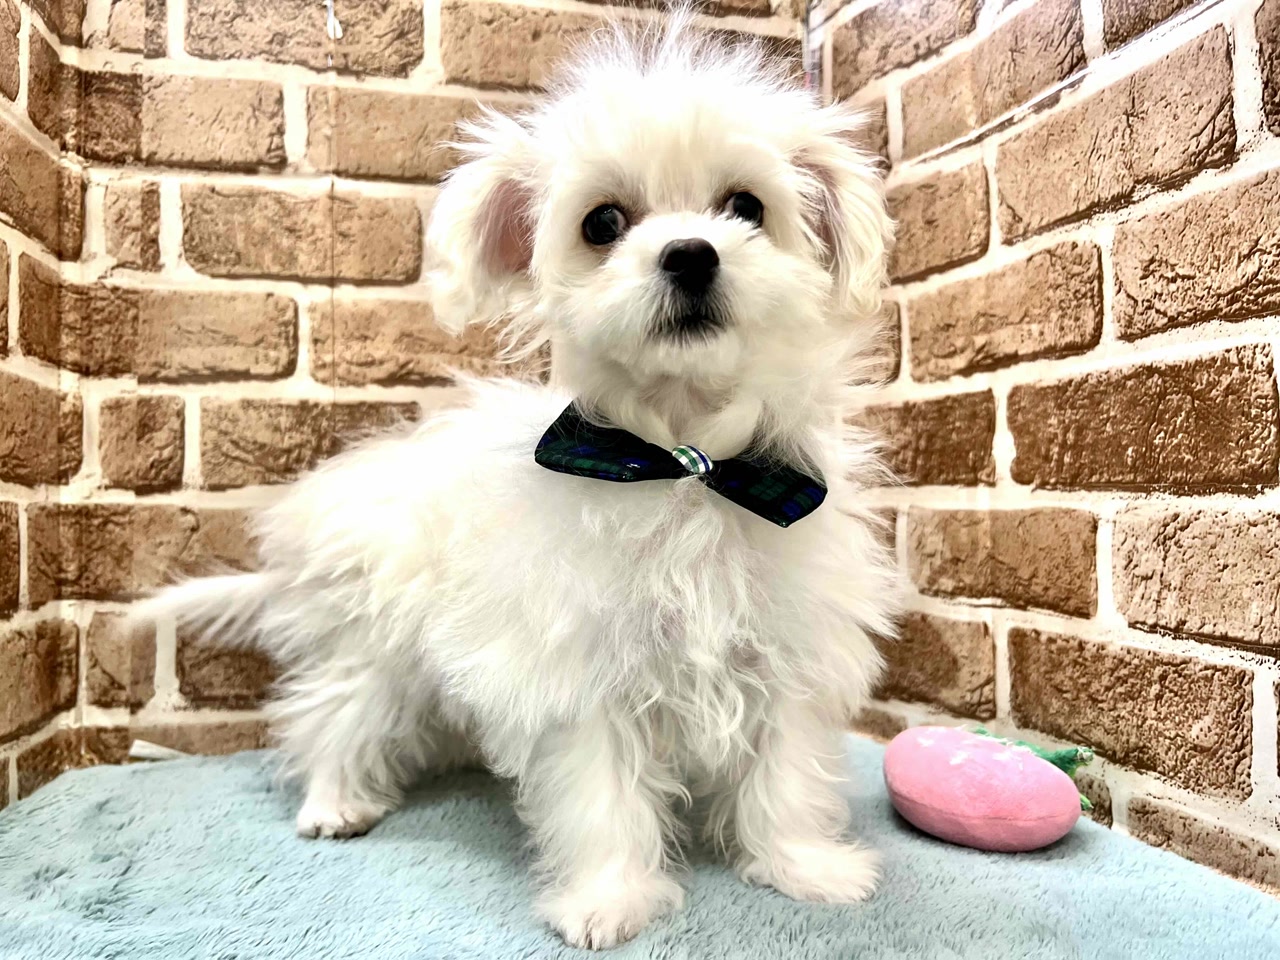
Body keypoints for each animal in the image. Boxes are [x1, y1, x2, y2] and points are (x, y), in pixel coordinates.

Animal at [142, 14, 900, 950]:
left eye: (747, 208)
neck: (682, 463)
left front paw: (803, 868)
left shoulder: (786, 651)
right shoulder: (579, 670)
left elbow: (785, 773)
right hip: (374, 642)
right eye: (603, 223)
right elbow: (602, 795)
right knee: (334, 713)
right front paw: (607, 901)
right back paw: (334, 801)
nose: (690, 254)